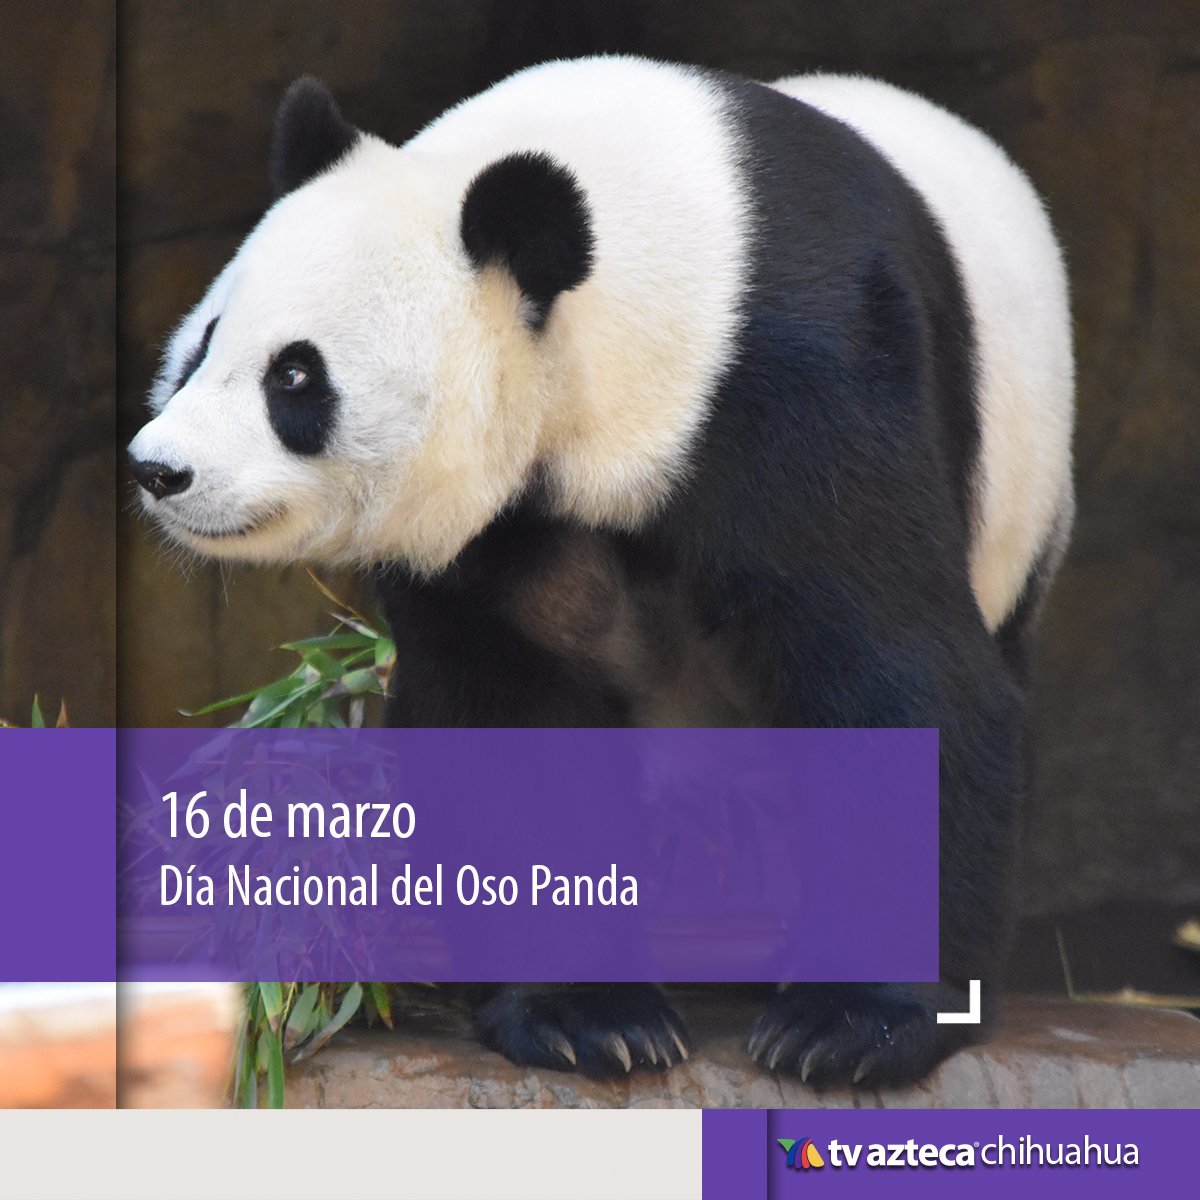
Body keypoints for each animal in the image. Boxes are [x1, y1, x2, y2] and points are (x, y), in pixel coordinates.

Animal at [129, 56, 1074, 1087]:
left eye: (294, 377)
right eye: (201, 347)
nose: (160, 470)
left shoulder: (810, 380)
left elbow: (892, 670)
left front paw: (852, 1026)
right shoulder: (506, 522)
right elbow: (508, 713)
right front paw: (589, 1018)